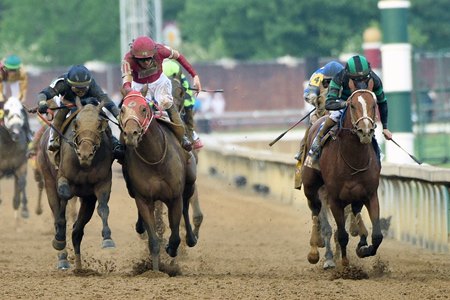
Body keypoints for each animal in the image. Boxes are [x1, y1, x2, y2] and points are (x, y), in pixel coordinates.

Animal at [36, 98, 116, 270]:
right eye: (76, 124)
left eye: (99, 125)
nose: (85, 154)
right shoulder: (62, 178)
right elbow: (63, 201)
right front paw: (59, 238)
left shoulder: (102, 183)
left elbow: (103, 208)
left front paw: (107, 239)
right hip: (47, 178)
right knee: (57, 212)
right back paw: (62, 257)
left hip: (87, 200)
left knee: (77, 231)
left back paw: (79, 266)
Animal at [118, 90, 198, 270]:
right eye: (122, 109)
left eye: (143, 109)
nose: (131, 135)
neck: (154, 158)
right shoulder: (144, 199)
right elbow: (153, 241)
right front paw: (155, 270)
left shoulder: (174, 197)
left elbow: (175, 236)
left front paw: (171, 250)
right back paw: (140, 227)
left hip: (189, 183)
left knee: (185, 206)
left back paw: (191, 238)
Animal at [302, 79, 384, 268]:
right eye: (352, 105)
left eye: (374, 104)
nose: (365, 131)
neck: (354, 160)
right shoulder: (334, 199)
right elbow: (339, 234)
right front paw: (343, 263)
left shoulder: (370, 194)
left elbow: (377, 235)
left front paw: (363, 249)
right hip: (310, 187)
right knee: (315, 212)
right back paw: (315, 250)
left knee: (353, 214)